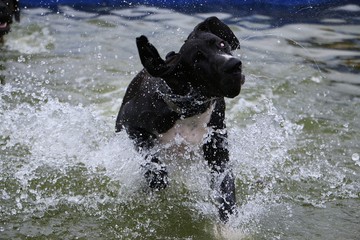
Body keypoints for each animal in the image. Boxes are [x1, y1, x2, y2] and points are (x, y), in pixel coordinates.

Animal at [115, 16, 245, 222]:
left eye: (221, 44)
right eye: (197, 59)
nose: (234, 64)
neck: (188, 109)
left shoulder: (217, 153)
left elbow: (226, 189)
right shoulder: (132, 125)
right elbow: (151, 159)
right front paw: (156, 178)